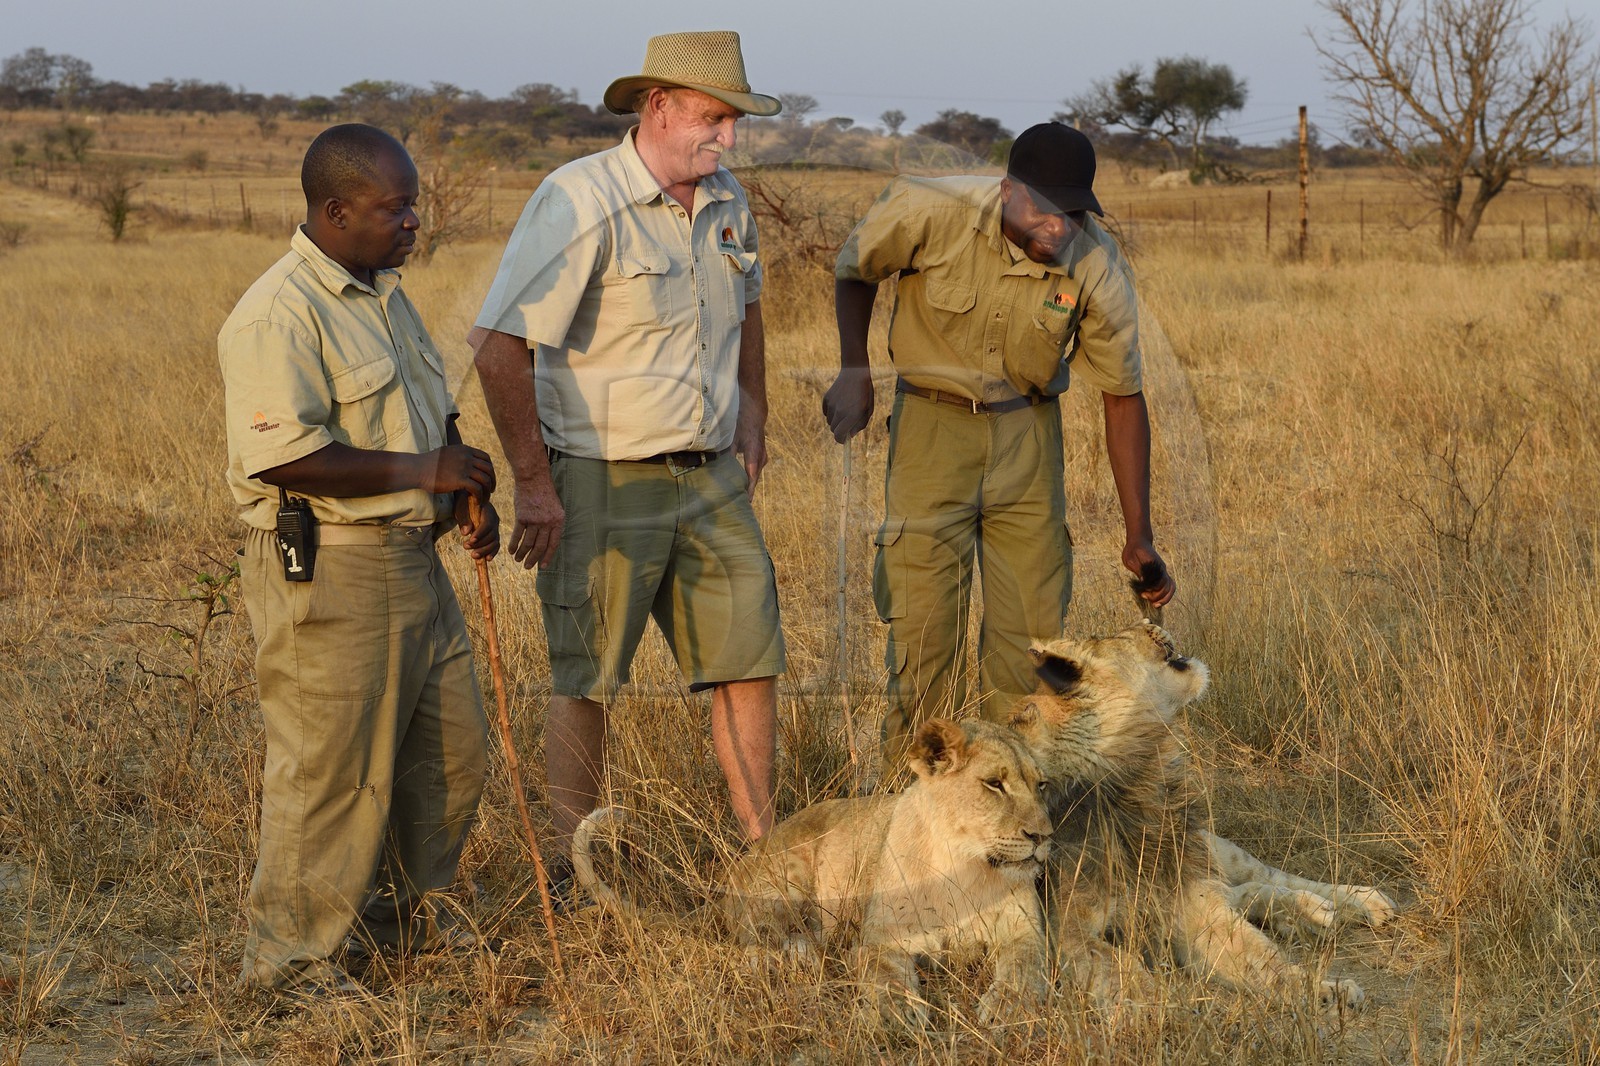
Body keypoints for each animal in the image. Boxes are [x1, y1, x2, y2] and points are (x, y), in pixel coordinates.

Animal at [574, 718, 1054, 1028]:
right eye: (994, 784)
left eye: (1041, 784)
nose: (1043, 836)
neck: (967, 868)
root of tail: (727, 882)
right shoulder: (879, 941)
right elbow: (886, 979)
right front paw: (896, 1013)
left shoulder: (1026, 931)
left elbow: (1024, 967)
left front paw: (1010, 1006)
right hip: (789, 877)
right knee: (753, 949)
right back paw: (797, 957)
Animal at [1005, 623, 1395, 1014]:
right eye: (1121, 635)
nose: (1149, 621)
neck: (1136, 774)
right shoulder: (1066, 929)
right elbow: (1120, 966)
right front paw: (1161, 1009)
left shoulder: (1189, 900)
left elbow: (1264, 960)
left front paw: (1327, 992)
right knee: (1244, 892)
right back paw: (1307, 912)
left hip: (1211, 848)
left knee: (1264, 876)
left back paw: (1356, 902)